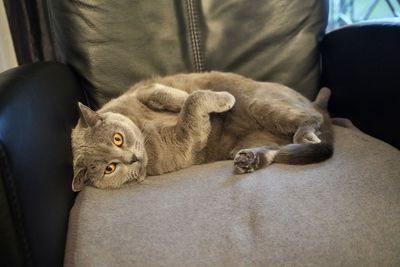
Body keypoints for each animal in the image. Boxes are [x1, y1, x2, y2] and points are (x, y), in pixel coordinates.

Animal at [70, 72, 332, 192]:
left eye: (117, 138)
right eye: (110, 168)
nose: (132, 158)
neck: (143, 129)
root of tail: (316, 102)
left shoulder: (143, 90)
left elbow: (176, 95)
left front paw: (221, 98)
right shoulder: (184, 144)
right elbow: (192, 105)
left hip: (262, 104)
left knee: (311, 119)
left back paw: (305, 134)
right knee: (276, 150)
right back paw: (248, 159)